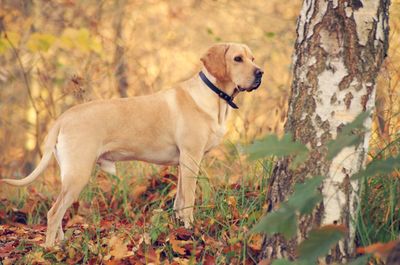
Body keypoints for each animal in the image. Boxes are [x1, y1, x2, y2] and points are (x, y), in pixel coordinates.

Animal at [1, 42, 264, 246]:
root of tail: (64, 117)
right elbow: (188, 201)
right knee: (53, 213)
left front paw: (179, 229)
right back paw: (50, 250)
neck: (214, 96)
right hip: (78, 174)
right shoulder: (191, 158)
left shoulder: (183, 163)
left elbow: (179, 202)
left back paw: (61, 243)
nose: (260, 73)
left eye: (252, 58)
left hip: (69, 175)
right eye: (237, 59)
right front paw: (190, 231)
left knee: (58, 212)